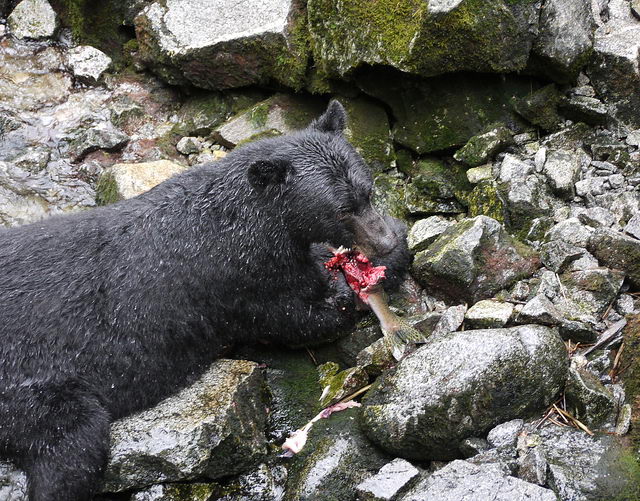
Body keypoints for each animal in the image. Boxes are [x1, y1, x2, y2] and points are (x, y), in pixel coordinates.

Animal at [0, 99, 410, 498]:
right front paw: (351, 287)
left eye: (368, 192)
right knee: (71, 445)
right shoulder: (237, 281)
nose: (385, 240)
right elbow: (294, 317)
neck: (249, 220)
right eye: (341, 209)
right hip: (33, 388)